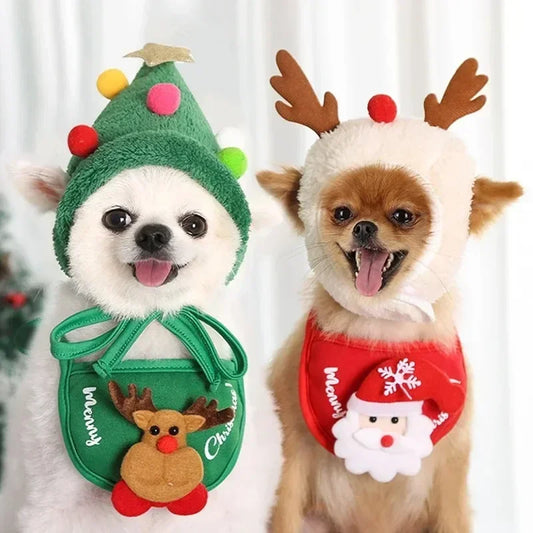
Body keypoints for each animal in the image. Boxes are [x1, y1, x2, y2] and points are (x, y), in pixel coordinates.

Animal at [258, 51, 520, 532]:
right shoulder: (291, 452)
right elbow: (282, 512)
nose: (364, 226)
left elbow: (454, 514)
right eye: (342, 213)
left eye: (402, 215)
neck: (380, 330)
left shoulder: (451, 465)